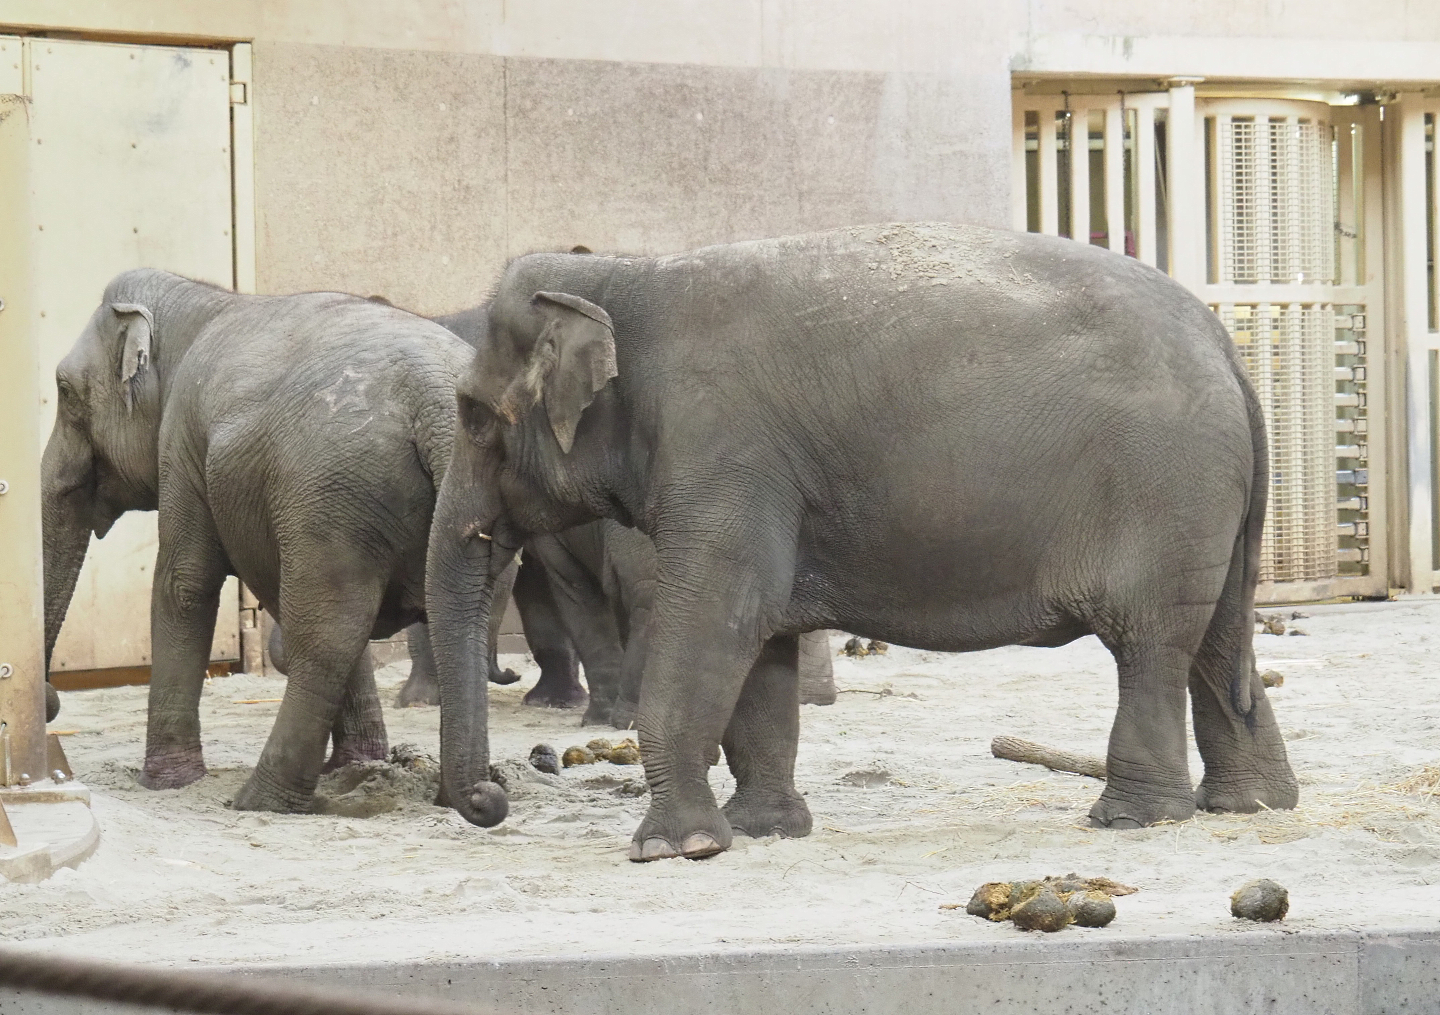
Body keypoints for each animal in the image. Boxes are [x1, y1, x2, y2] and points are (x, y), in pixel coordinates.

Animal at [40, 268, 521, 811]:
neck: (200, 300)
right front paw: (356, 766)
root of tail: (436, 398)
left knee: (326, 634)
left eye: (63, 391)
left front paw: (165, 784)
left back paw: (259, 800)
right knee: (444, 623)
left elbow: (184, 585)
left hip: (332, 493)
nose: (51, 700)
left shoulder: (182, 442)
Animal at [423, 222, 1299, 860]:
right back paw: (1250, 803)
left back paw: (1133, 818)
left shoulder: (724, 453)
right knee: (1219, 641)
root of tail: (1230, 353)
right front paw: (766, 828)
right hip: (1204, 508)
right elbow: (763, 642)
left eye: (472, 414)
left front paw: (676, 849)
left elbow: (716, 619)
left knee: (1150, 644)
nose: (491, 796)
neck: (624, 274)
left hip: (1164, 488)